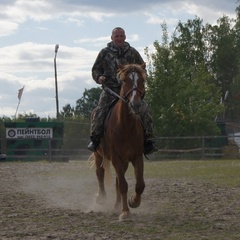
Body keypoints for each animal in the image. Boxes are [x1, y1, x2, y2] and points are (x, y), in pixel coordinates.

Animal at [92, 62, 145, 220]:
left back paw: (116, 206)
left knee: (116, 181)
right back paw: (101, 198)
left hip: (124, 161)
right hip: (98, 154)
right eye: (125, 80)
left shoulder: (136, 156)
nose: (135, 104)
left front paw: (133, 201)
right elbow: (123, 185)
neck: (126, 126)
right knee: (100, 172)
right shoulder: (116, 157)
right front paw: (125, 212)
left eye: (142, 80)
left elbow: (139, 184)